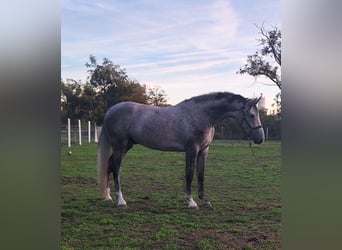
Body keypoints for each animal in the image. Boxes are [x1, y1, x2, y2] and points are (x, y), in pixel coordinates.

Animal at [96, 92, 264, 209]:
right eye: (251, 115)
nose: (260, 138)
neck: (203, 115)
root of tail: (110, 111)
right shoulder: (192, 150)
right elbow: (189, 174)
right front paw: (191, 202)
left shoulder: (204, 150)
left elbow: (201, 175)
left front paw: (205, 201)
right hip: (120, 146)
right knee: (116, 170)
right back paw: (121, 201)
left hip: (125, 146)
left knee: (110, 165)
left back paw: (108, 197)